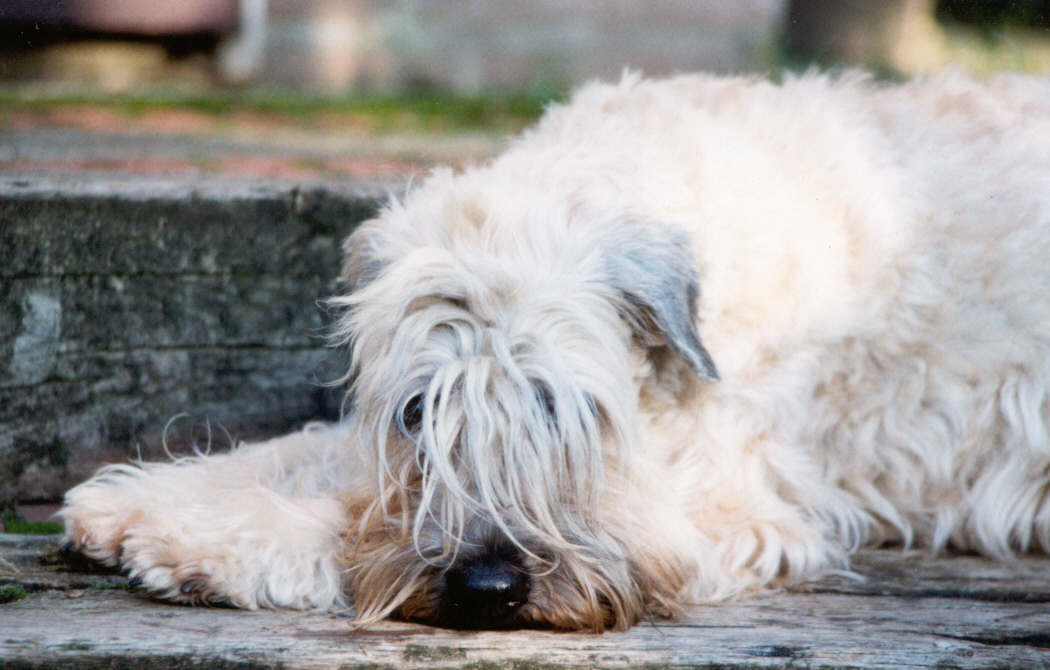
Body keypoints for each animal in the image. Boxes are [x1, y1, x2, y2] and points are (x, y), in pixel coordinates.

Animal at [61, 69, 1050, 634]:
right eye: (417, 411)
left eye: (556, 405)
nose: (488, 587)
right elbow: (313, 455)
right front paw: (136, 503)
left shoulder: (717, 509)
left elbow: (343, 525)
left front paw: (204, 543)